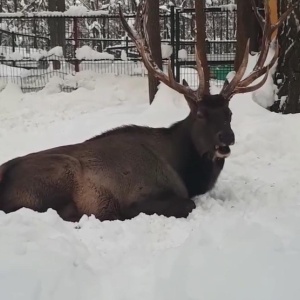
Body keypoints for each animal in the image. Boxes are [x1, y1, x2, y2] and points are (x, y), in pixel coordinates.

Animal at [0, 0, 296, 220]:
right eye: (200, 114)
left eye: (229, 114)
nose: (227, 137)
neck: (186, 171)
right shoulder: (142, 191)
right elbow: (186, 204)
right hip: (60, 173)